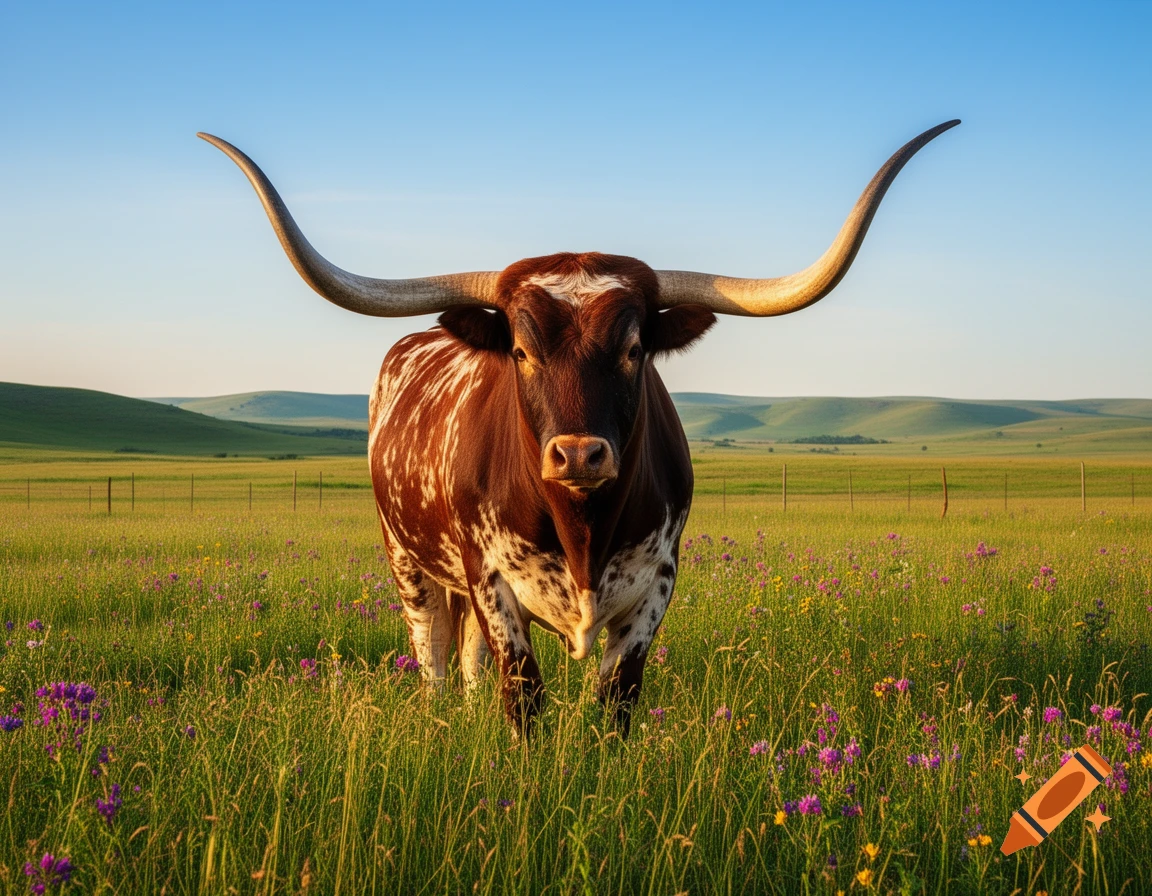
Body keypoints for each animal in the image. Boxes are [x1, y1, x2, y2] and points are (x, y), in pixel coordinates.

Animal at [199, 120, 958, 736]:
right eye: (521, 351)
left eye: (634, 349)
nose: (579, 455)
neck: (582, 527)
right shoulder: (492, 582)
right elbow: (523, 696)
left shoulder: (655, 586)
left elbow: (614, 702)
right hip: (410, 565)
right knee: (436, 661)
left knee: (466, 665)